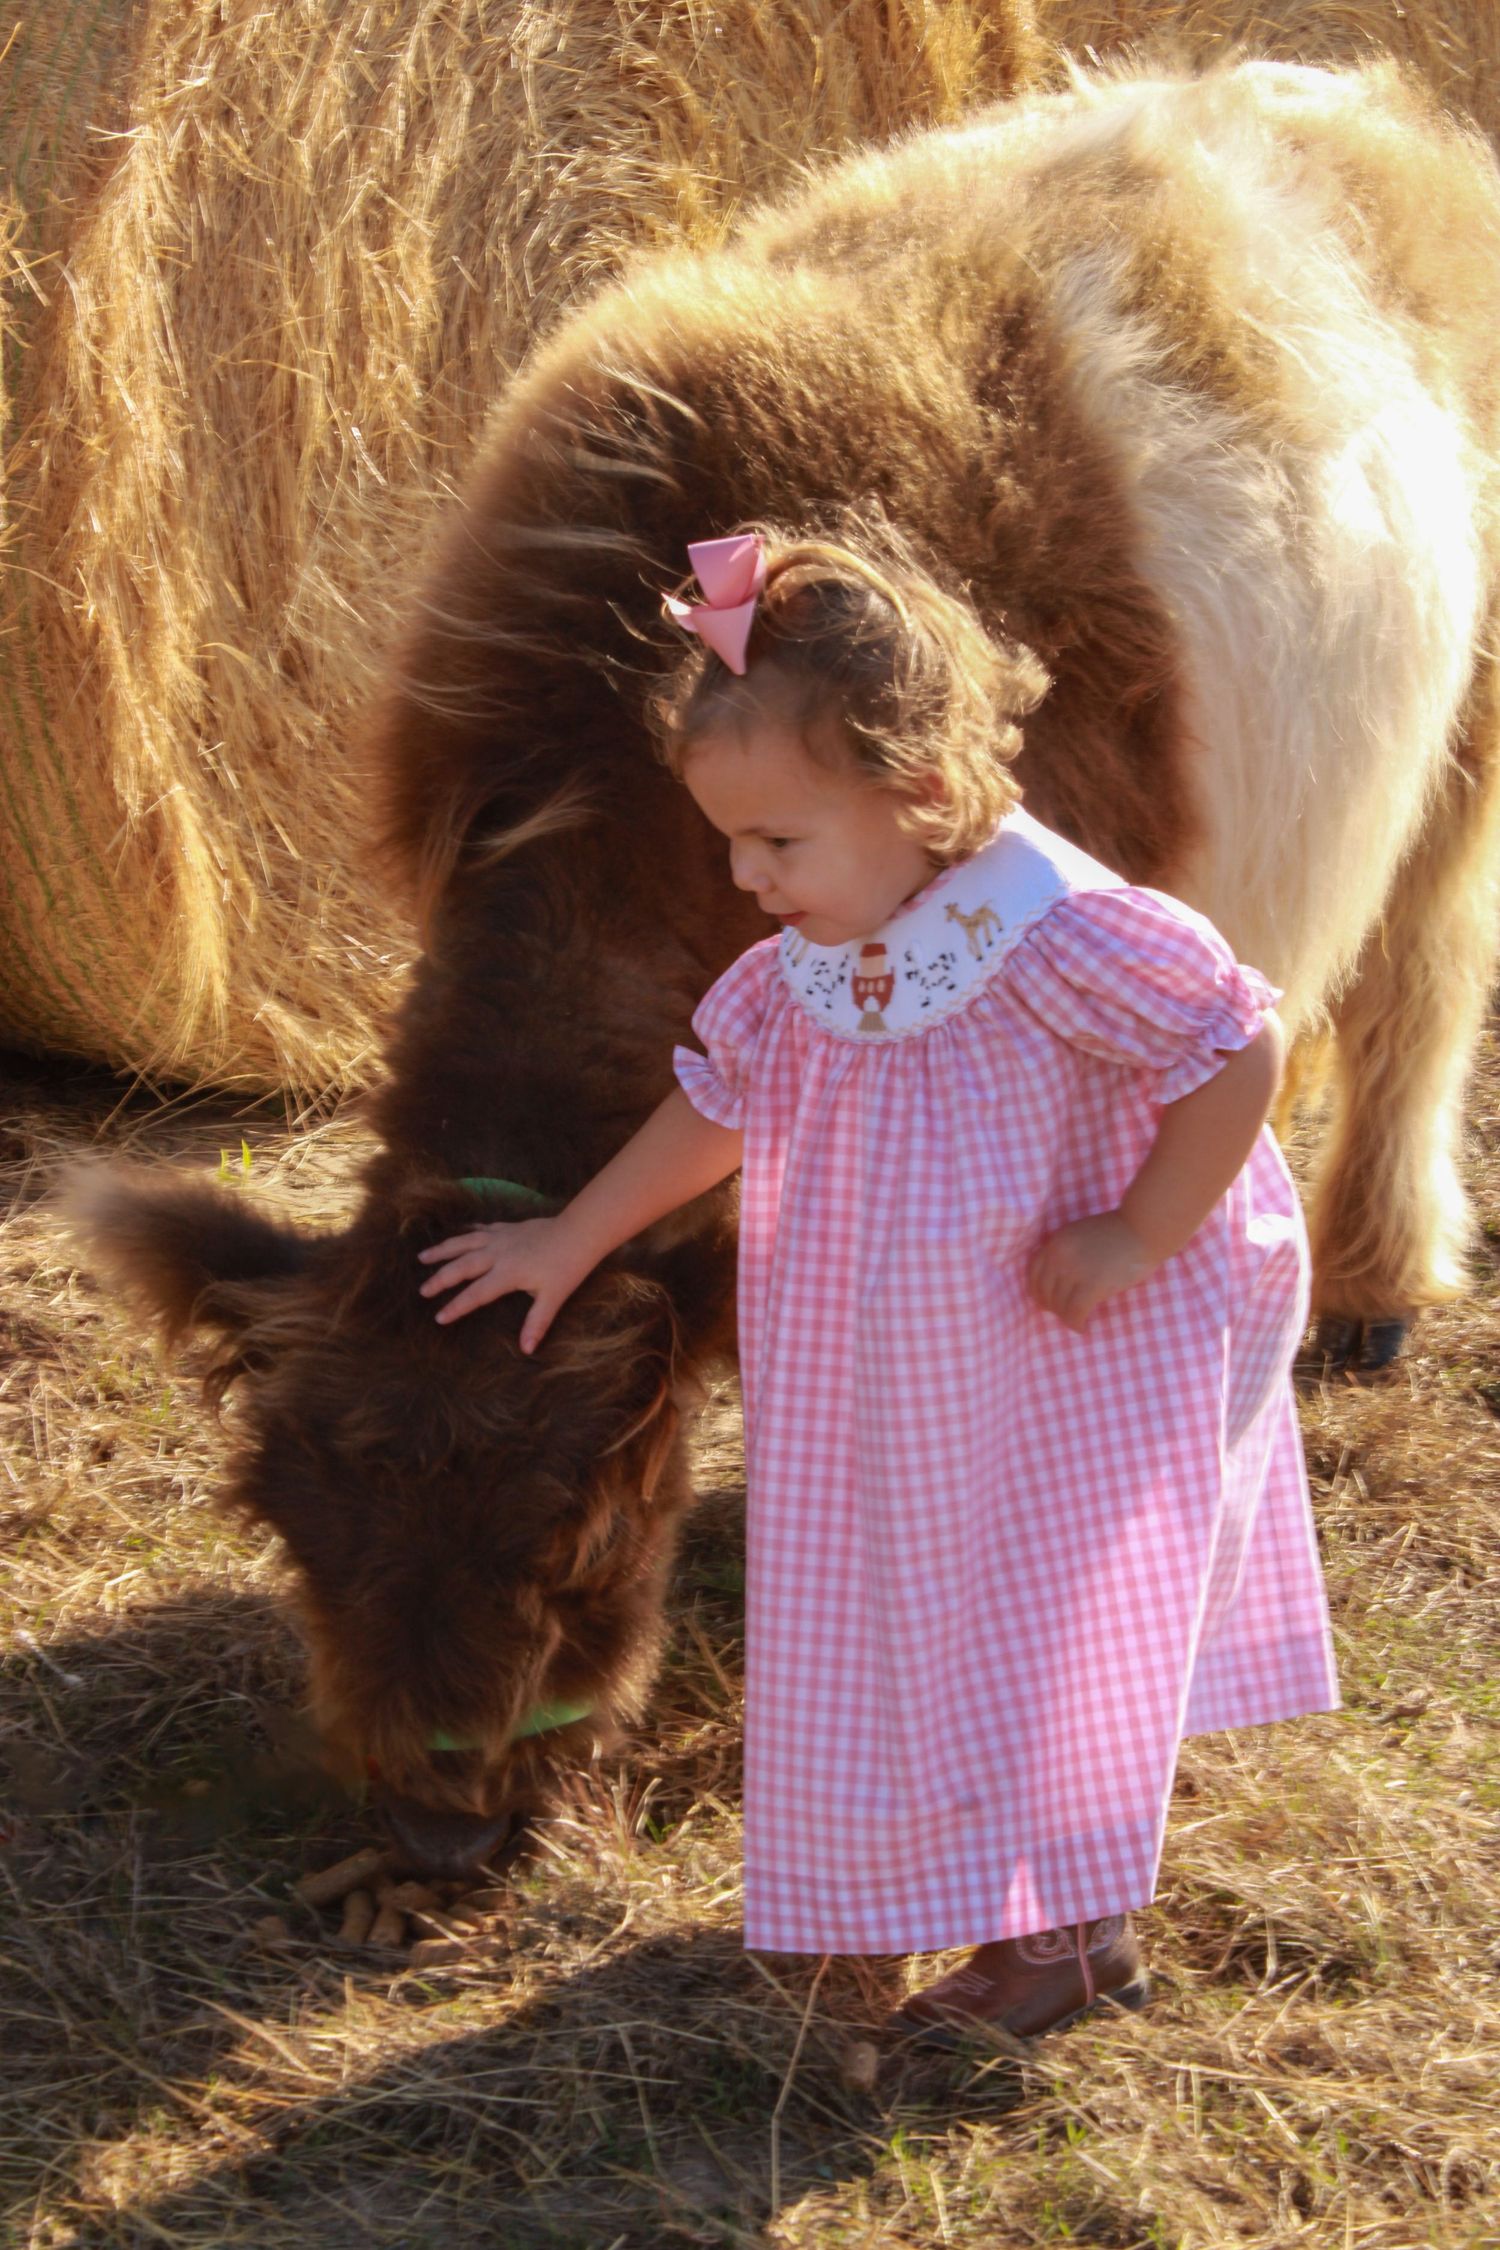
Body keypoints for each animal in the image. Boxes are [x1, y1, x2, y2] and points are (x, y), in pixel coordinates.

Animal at [73, 60, 1500, 1872]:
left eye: (583, 1532)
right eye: (280, 1515)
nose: (439, 1816)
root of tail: (1343, 93)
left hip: (1460, 735)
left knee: (1421, 979)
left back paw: (1374, 1286)